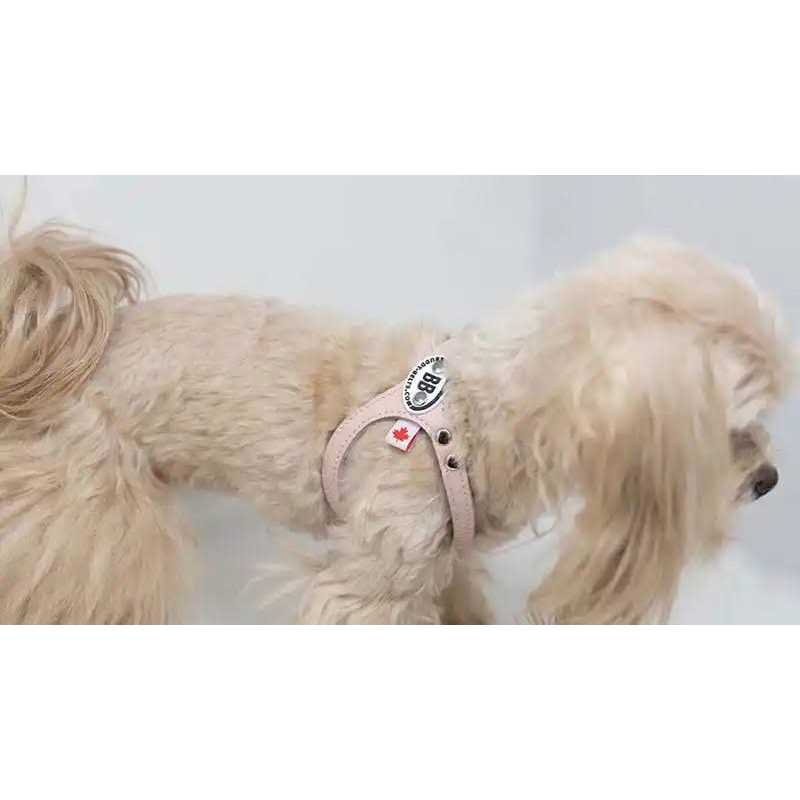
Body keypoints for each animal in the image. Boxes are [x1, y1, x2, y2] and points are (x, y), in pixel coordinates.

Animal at [0, 222, 792, 623]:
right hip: (96, 515)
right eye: (732, 429)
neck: (474, 410)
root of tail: (87, 342)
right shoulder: (374, 581)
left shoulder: (443, 562)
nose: (771, 480)